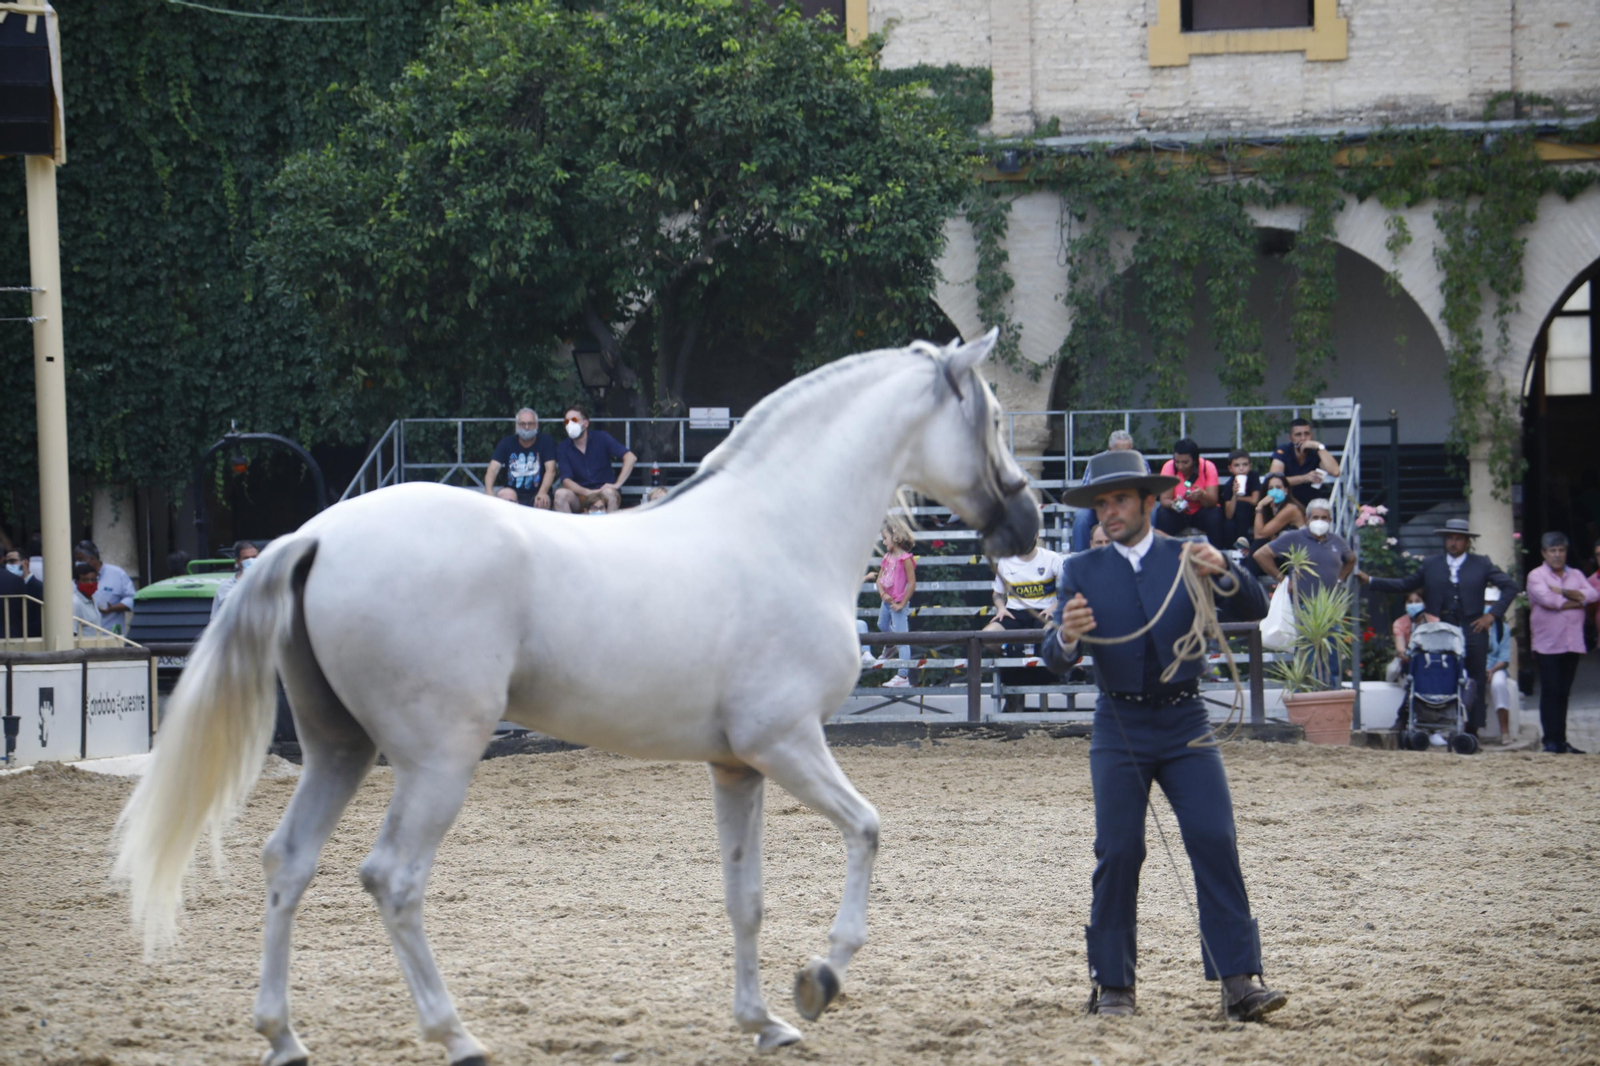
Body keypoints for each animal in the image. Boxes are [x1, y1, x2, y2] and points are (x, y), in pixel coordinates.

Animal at [113, 329, 1038, 1065]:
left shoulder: (737, 765)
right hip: (437, 761)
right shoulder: (787, 742)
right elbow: (868, 830)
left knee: (288, 861)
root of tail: (315, 535)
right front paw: (820, 980)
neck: (780, 530)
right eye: (993, 418)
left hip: (339, 750)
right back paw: (457, 1036)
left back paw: (283, 1036)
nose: (1026, 526)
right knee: (393, 878)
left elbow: (745, 897)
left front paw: (764, 1021)